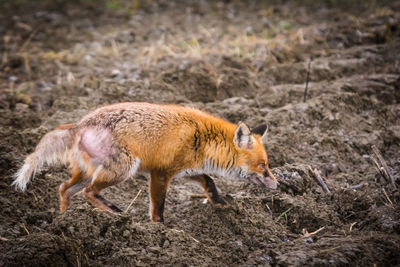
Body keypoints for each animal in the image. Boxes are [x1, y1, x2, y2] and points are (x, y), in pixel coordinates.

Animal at [10, 102, 276, 222]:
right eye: (263, 166)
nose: (277, 184)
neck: (203, 138)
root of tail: (80, 124)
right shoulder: (160, 173)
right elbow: (158, 208)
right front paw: (162, 230)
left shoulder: (185, 171)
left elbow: (208, 180)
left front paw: (219, 202)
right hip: (121, 170)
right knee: (89, 192)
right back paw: (114, 212)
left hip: (87, 173)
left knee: (63, 188)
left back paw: (64, 219)